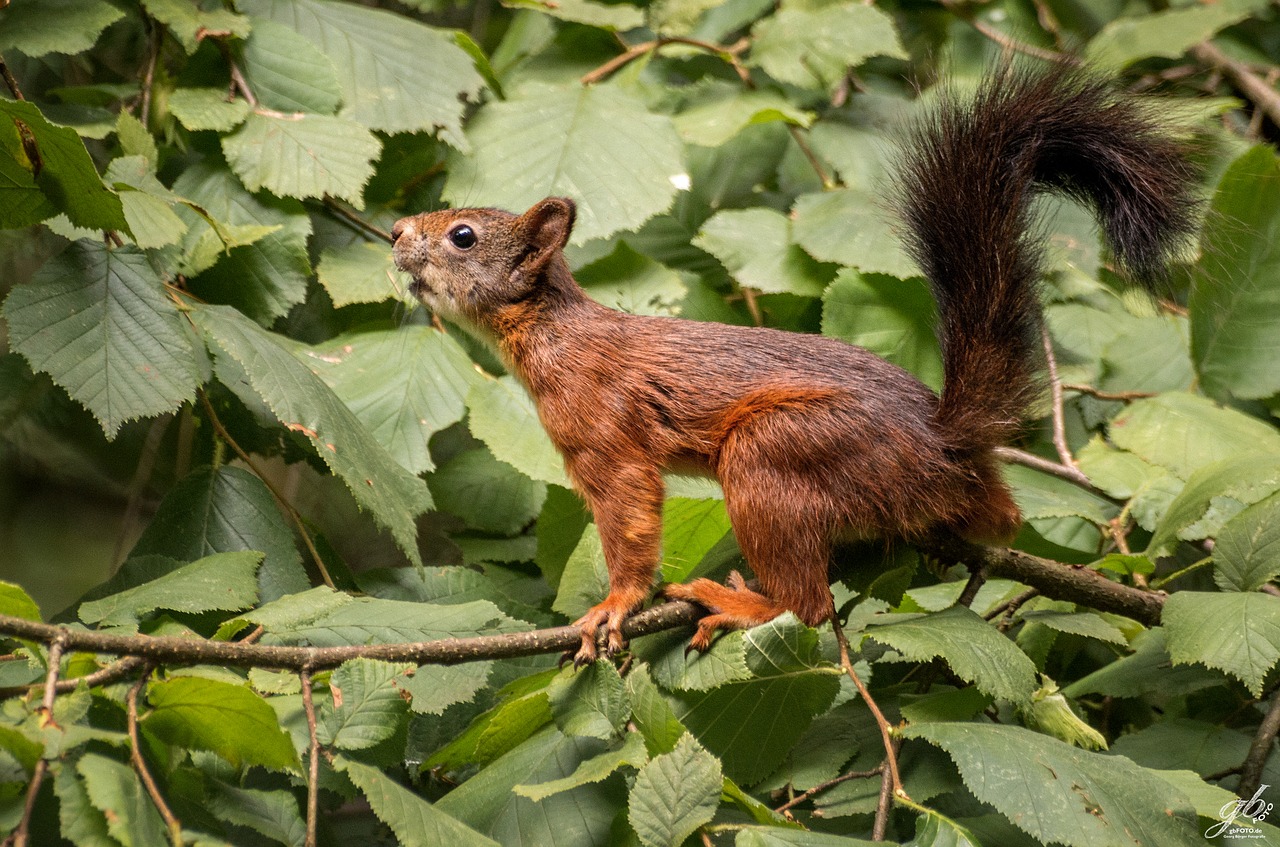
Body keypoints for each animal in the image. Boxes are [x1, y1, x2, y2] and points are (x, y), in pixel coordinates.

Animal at [391, 66, 1198, 665]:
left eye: (463, 235)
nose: (396, 231)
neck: (550, 332)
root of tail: (944, 445)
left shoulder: (605, 434)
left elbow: (630, 517)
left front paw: (617, 604)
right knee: (997, 520)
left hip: (776, 453)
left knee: (807, 607)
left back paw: (743, 602)